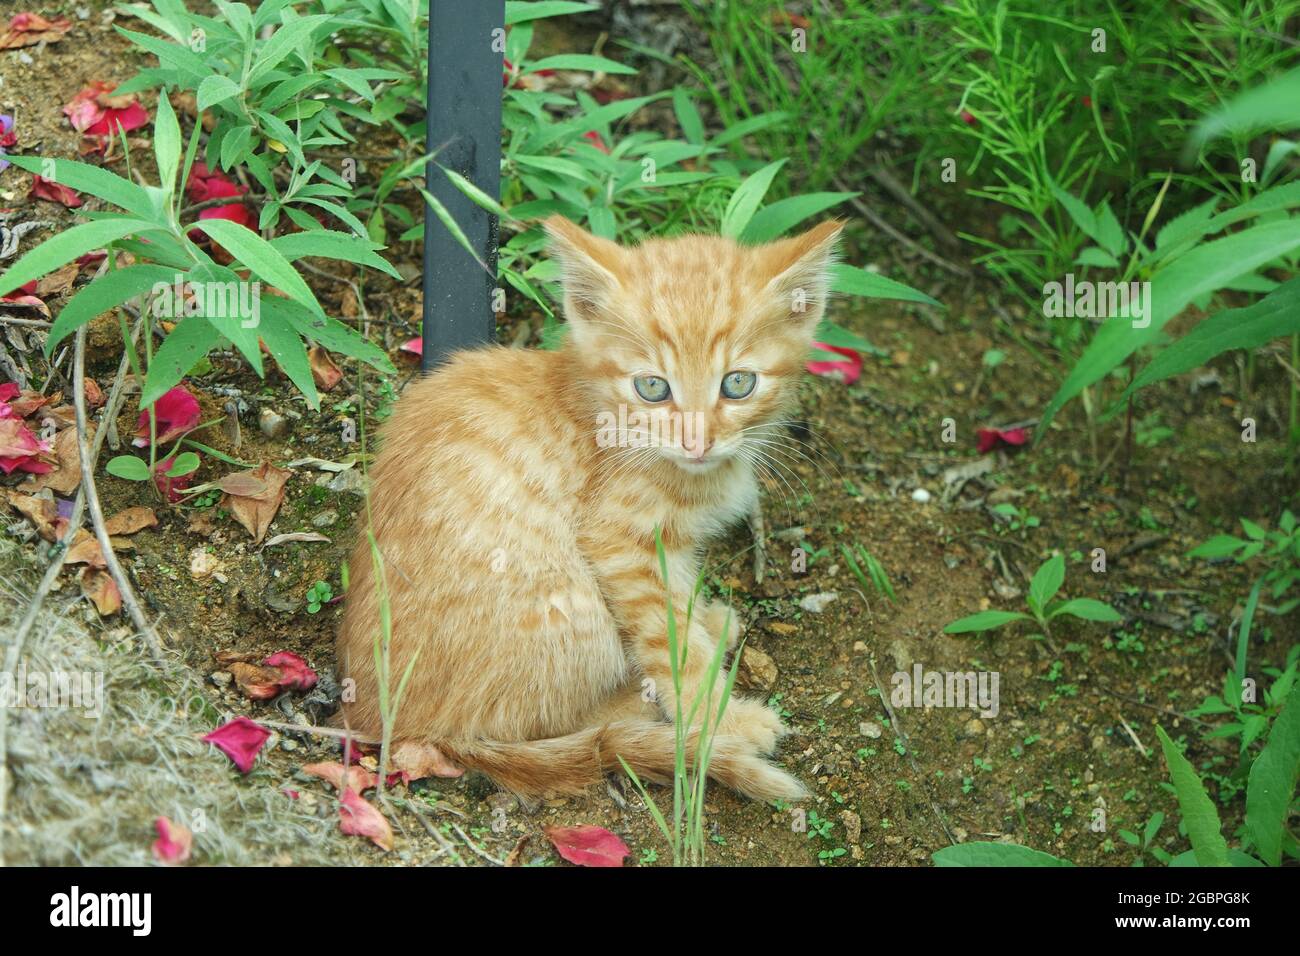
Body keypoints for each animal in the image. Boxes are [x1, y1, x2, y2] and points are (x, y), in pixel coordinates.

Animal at [338, 217, 842, 801]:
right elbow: (670, 644)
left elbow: (681, 601)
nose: (697, 442)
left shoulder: (670, 546)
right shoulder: (621, 544)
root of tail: (389, 727)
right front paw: (720, 718)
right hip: (571, 608)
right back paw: (638, 705)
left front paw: (705, 621)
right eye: (652, 387)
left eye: (738, 383)